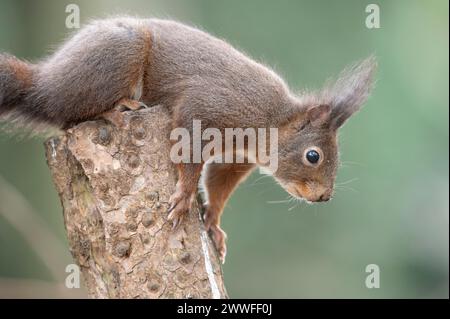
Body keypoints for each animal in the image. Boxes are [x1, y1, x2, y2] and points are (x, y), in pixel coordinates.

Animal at [0, 16, 376, 262]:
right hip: (117, 55)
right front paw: (184, 194)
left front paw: (214, 222)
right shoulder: (204, 109)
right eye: (314, 156)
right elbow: (191, 154)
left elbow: (219, 184)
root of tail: (44, 81)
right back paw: (115, 108)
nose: (324, 197)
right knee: (68, 114)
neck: (271, 119)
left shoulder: (234, 159)